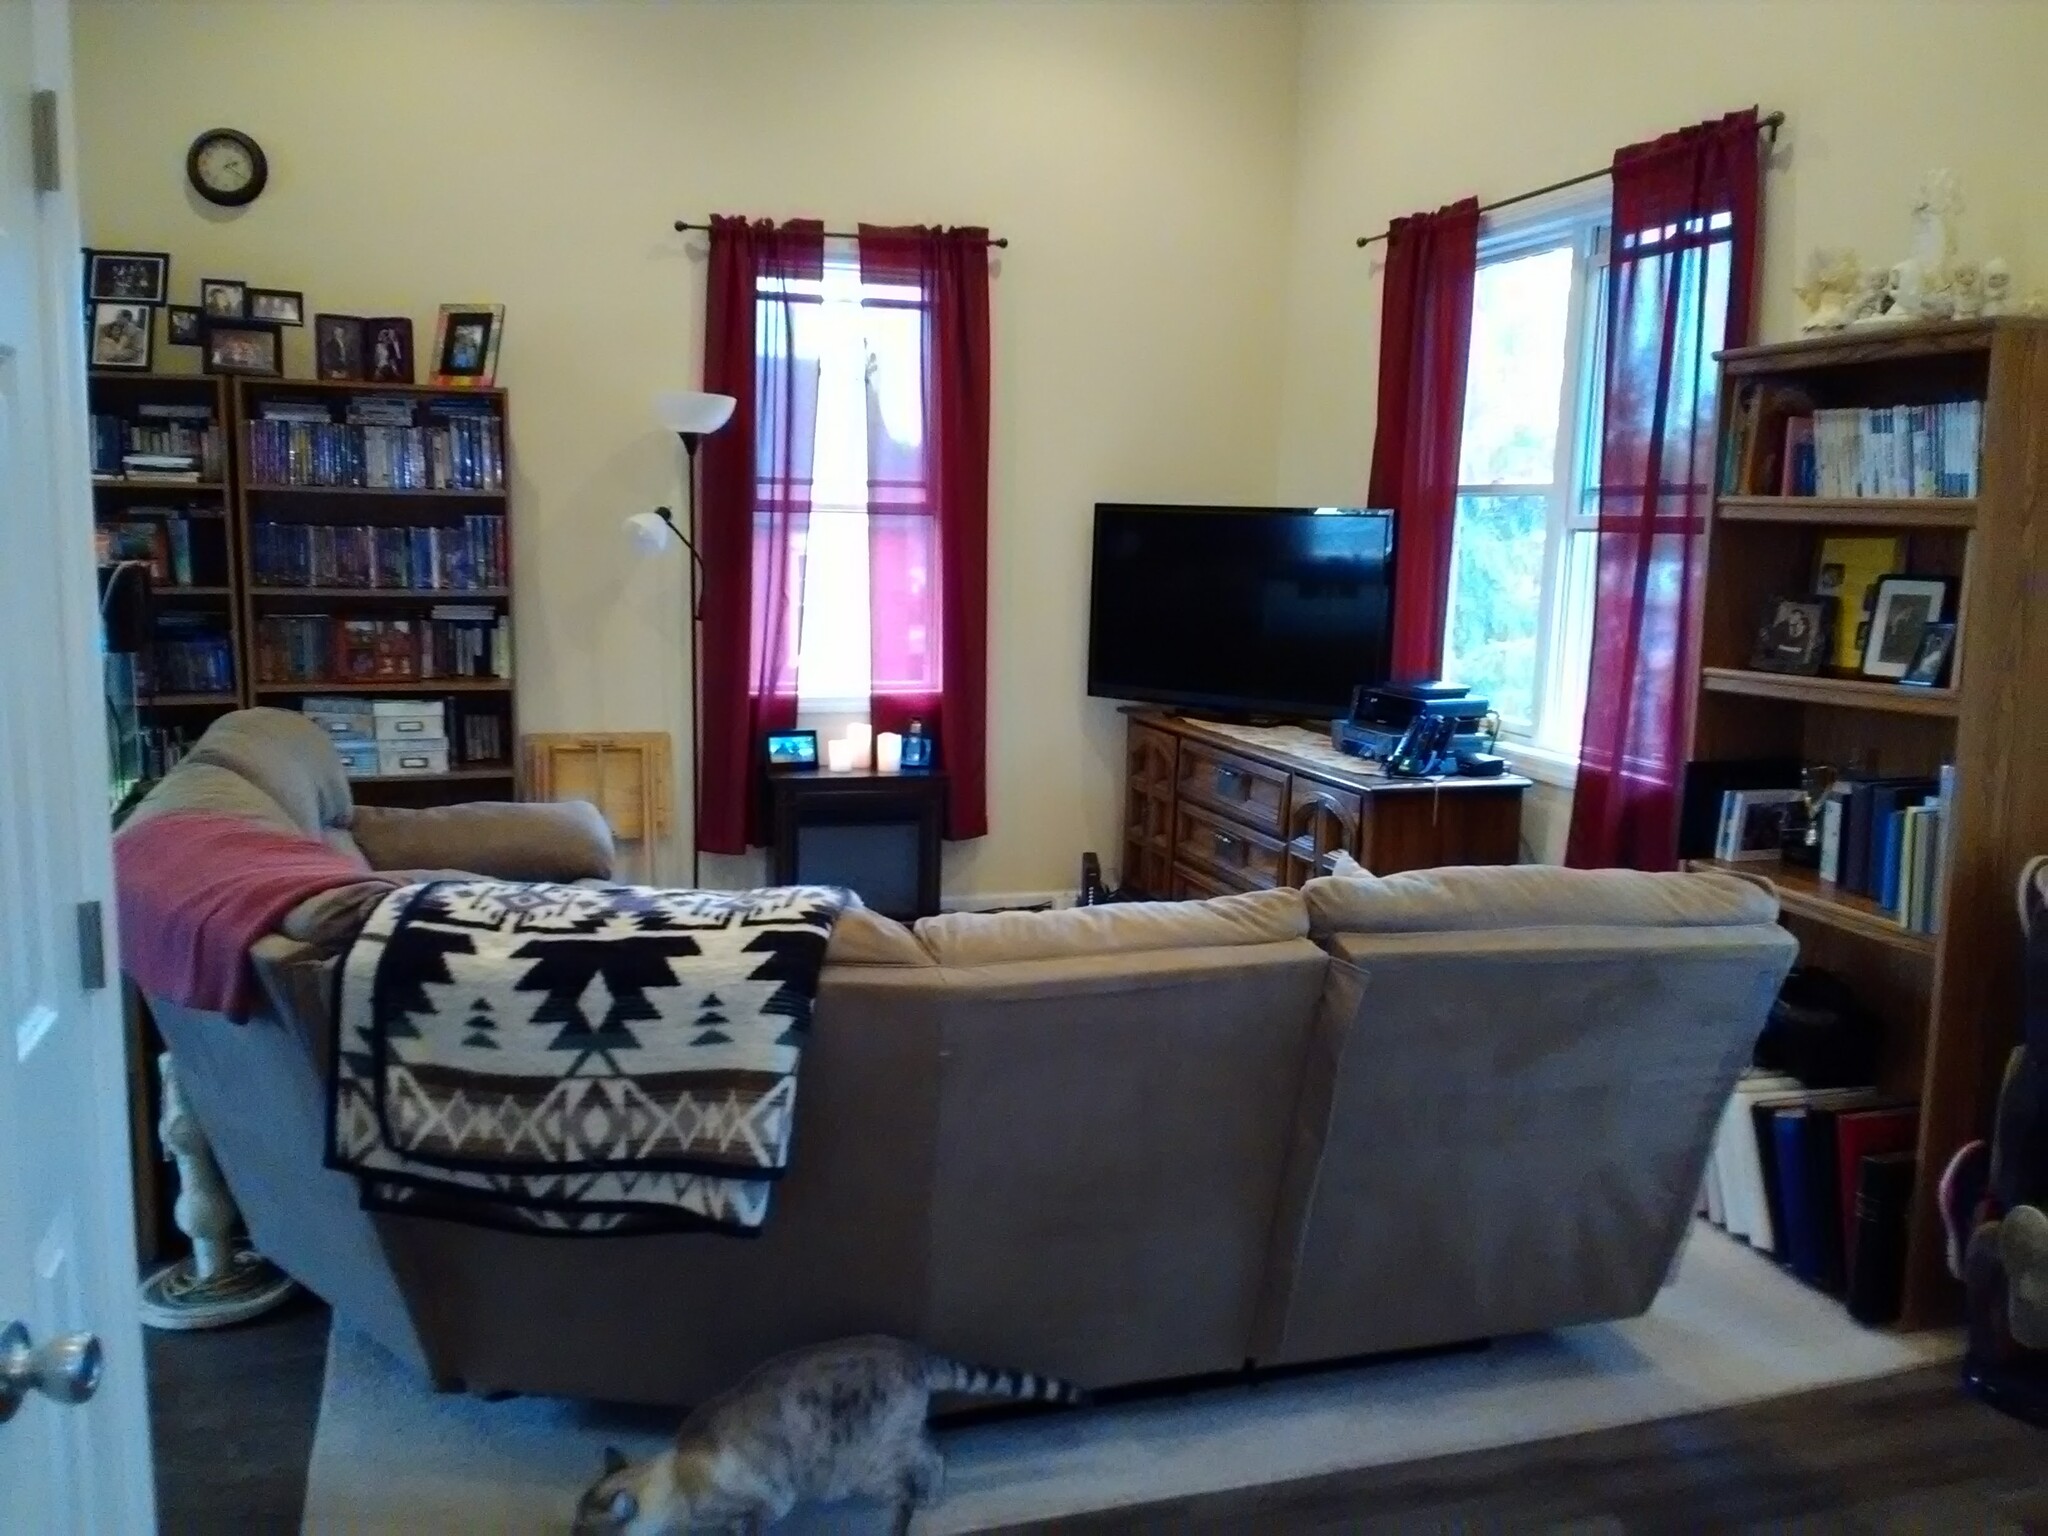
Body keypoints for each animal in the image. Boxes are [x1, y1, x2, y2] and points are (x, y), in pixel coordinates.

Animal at [573, 1335, 1081, 1536]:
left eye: (583, 1534)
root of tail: (915, 1353)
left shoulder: (765, 1504)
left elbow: (747, 1526)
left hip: (868, 1465)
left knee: (920, 1472)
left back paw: (920, 1509)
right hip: (893, 1444)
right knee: (937, 1446)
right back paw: (934, 1495)